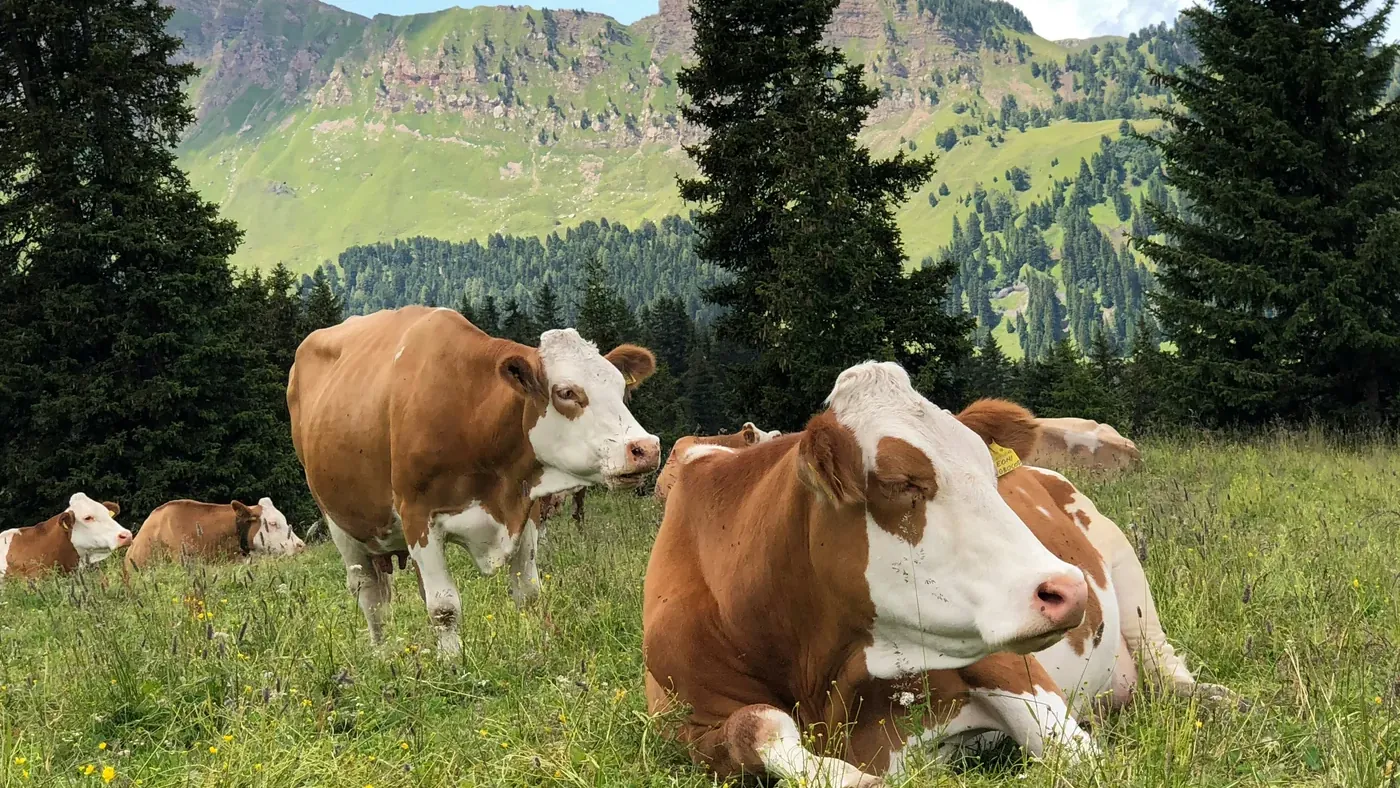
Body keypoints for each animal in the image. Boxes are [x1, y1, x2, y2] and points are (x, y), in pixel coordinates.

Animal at [288, 306, 661, 656]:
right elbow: (443, 608)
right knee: (370, 596)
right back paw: (382, 653)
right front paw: (453, 665)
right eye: (566, 392)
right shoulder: (417, 516)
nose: (646, 448)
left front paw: (537, 650)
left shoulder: (524, 509)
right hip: (341, 525)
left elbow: (528, 592)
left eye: (620, 386)